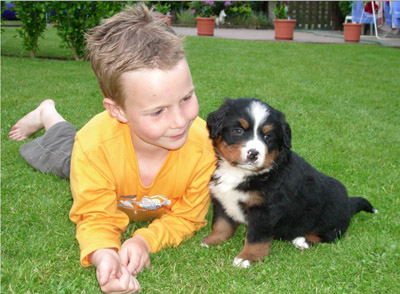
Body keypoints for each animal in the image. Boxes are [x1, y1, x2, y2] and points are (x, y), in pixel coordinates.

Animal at [202, 99, 376, 268]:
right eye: (238, 130)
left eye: (268, 137)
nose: (253, 154)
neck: (239, 172)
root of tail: (349, 203)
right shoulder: (222, 199)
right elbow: (221, 224)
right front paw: (212, 240)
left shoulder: (265, 211)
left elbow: (256, 238)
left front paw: (247, 257)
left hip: (330, 218)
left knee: (330, 235)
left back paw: (303, 240)